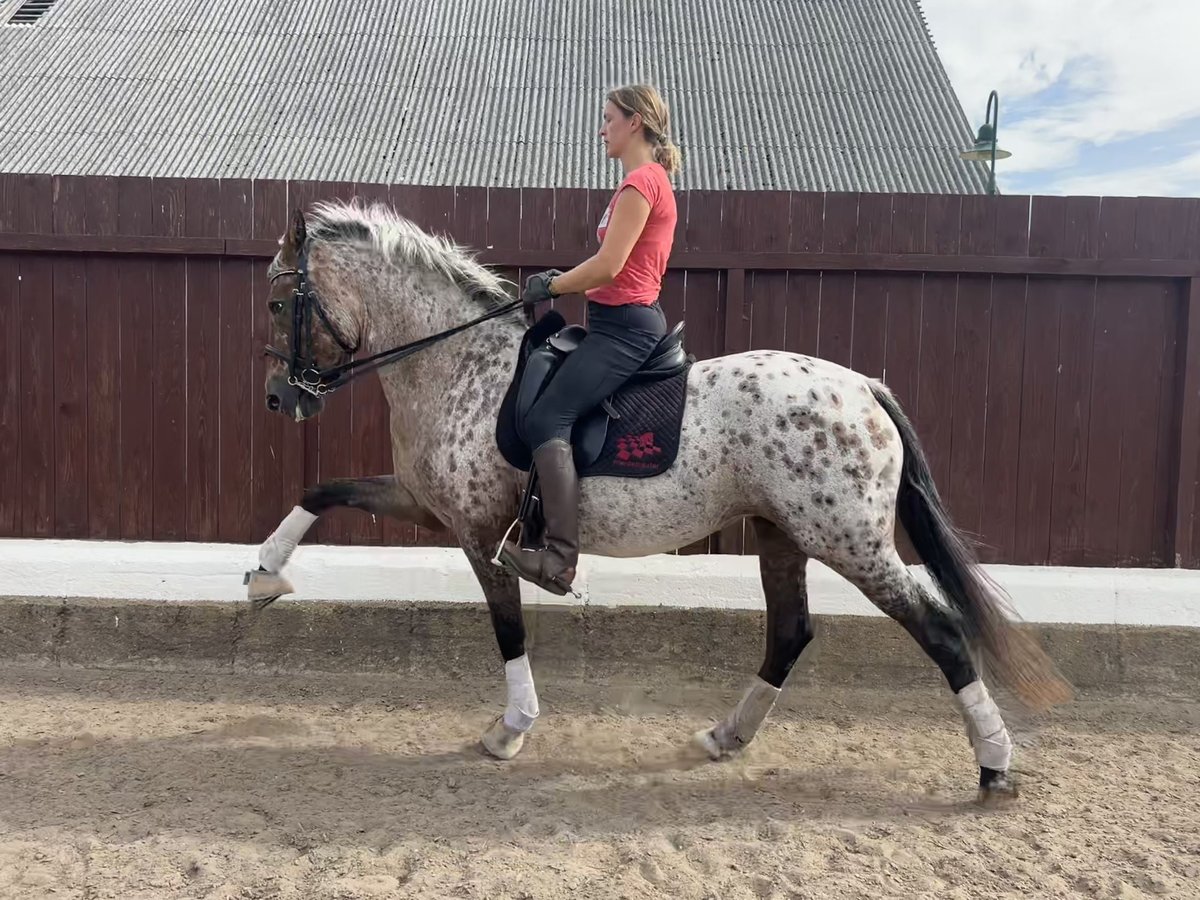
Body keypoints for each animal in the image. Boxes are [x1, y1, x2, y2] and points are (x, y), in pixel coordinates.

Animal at [248, 199, 1075, 801]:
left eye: (279, 301)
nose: (279, 397)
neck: (456, 362)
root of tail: (864, 386)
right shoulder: (428, 504)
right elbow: (320, 489)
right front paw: (263, 576)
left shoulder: (481, 532)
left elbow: (508, 629)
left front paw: (511, 728)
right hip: (780, 534)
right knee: (791, 631)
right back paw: (726, 736)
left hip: (850, 542)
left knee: (940, 630)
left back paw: (994, 766)